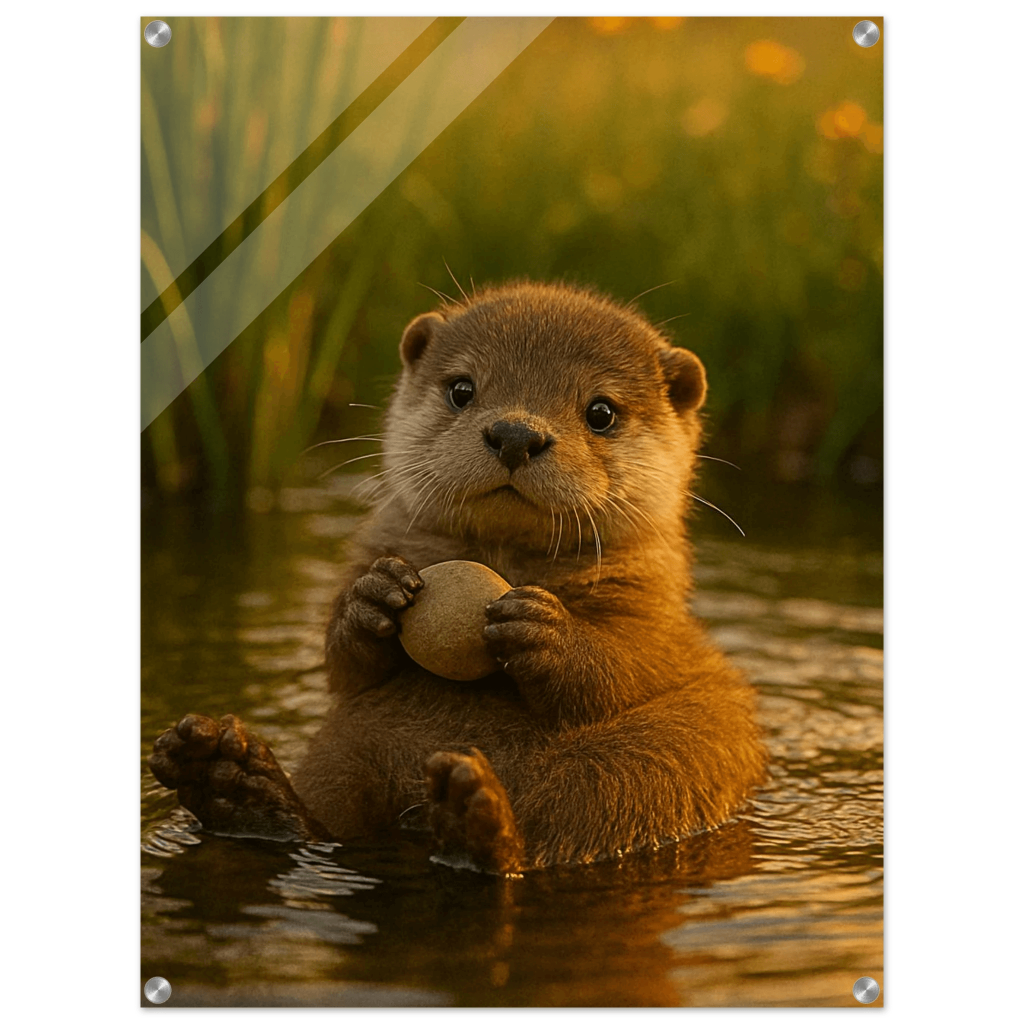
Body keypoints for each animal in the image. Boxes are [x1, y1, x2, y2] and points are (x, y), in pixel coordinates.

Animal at [150, 281, 766, 874]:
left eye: (601, 412)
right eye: (462, 389)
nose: (516, 433)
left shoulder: (651, 606)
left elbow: (625, 663)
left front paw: (547, 630)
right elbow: (345, 668)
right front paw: (373, 599)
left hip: (637, 769)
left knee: (565, 820)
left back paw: (477, 820)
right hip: (349, 748)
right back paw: (235, 787)